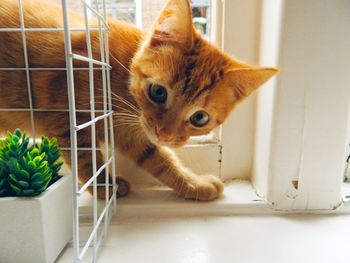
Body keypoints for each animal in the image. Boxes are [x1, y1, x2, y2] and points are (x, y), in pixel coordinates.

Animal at [0, 0, 278, 202]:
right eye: (158, 92)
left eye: (199, 117)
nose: (165, 133)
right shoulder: (68, 117)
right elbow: (87, 158)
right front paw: (104, 187)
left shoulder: (136, 134)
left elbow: (159, 159)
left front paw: (193, 184)